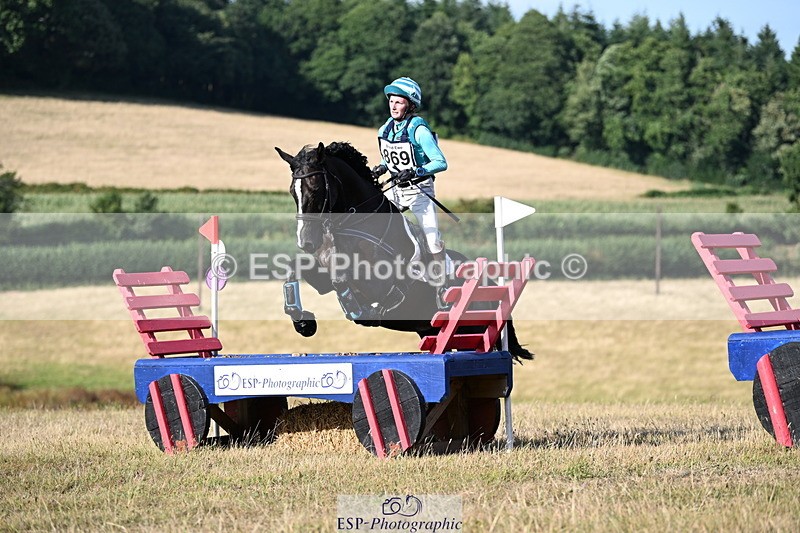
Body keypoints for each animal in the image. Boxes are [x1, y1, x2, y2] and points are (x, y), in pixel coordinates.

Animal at [274, 141, 533, 361]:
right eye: (292, 192)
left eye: (316, 189)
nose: (307, 242)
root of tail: (490, 282)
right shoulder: (322, 278)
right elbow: (295, 269)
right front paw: (303, 322)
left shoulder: (378, 284)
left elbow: (342, 279)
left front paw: (360, 312)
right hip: (432, 330)